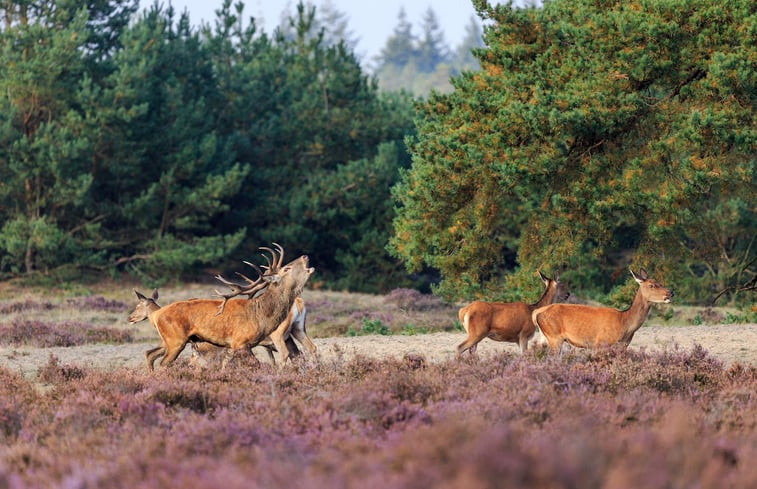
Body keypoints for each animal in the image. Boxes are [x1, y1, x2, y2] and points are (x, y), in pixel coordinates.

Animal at [532, 266, 672, 350]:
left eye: (659, 282)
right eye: (651, 285)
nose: (671, 292)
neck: (625, 324)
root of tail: (537, 312)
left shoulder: (623, 347)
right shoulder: (601, 343)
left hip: (545, 338)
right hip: (554, 337)